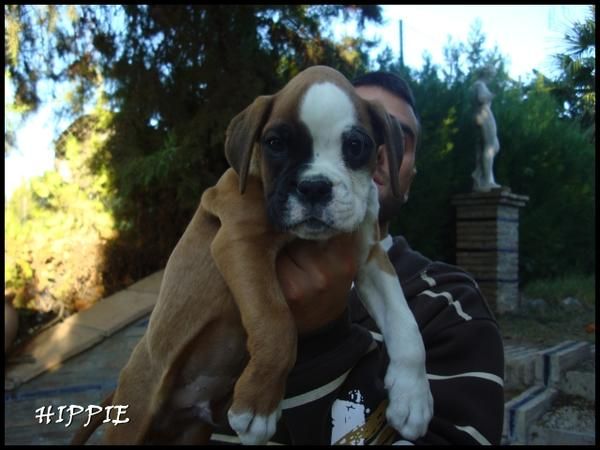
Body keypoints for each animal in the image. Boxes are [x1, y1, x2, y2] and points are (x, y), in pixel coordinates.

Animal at [72, 66, 432, 446]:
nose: (314, 187)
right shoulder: (241, 242)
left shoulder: (371, 258)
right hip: (135, 415)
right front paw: (258, 407)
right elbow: (276, 323)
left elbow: (406, 325)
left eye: (355, 146)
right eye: (275, 143)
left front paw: (413, 399)